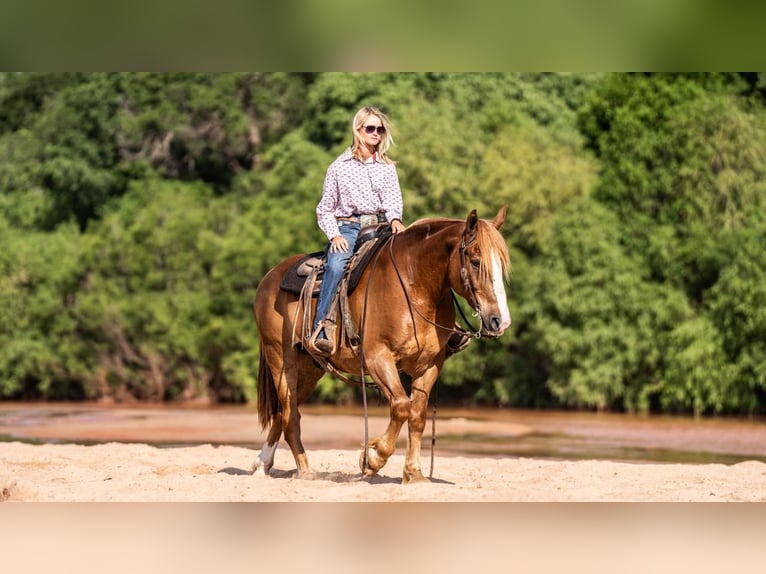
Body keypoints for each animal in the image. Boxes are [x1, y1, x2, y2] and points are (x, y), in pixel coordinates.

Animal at [255, 205, 512, 484]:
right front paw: (373, 458)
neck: (414, 286)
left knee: (283, 413)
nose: (500, 321)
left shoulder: (429, 365)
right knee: (290, 415)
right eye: (476, 262)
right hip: (281, 359)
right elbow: (400, 406)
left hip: (310, 367)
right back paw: (305, 471)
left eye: (501, 265)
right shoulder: (377, 357)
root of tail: (269, 278)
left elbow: (417, 416)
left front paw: (414, 474)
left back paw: (262, 464)